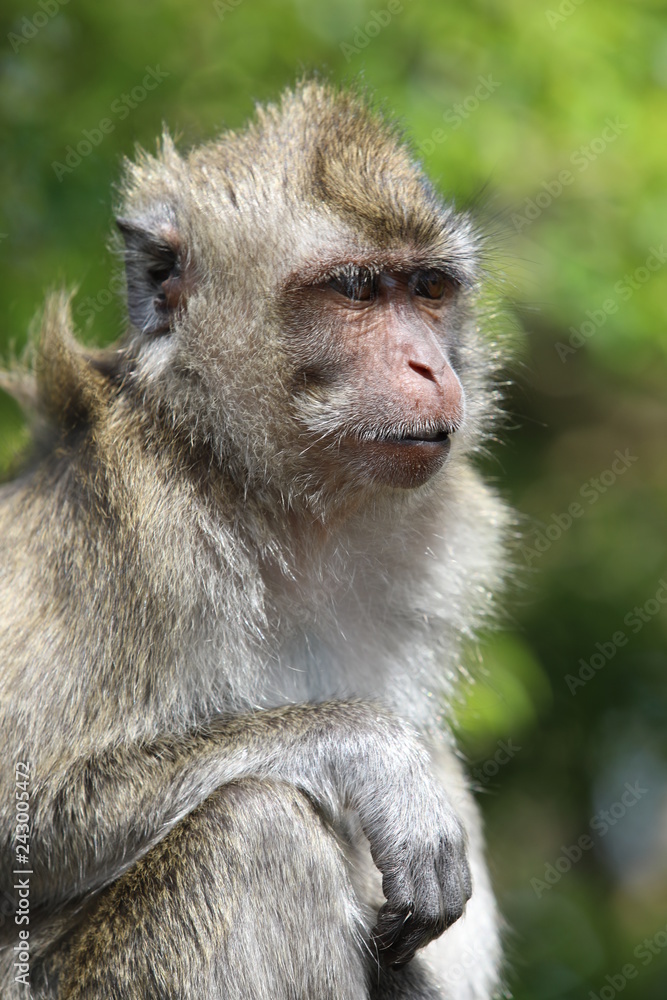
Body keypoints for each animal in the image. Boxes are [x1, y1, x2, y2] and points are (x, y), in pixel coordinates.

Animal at [0, 81, 511, 999]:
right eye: (354, 290)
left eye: (427, 288)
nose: (428, 366)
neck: (265, 496)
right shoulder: (120, 535)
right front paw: (371, 753)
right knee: (253, 832)